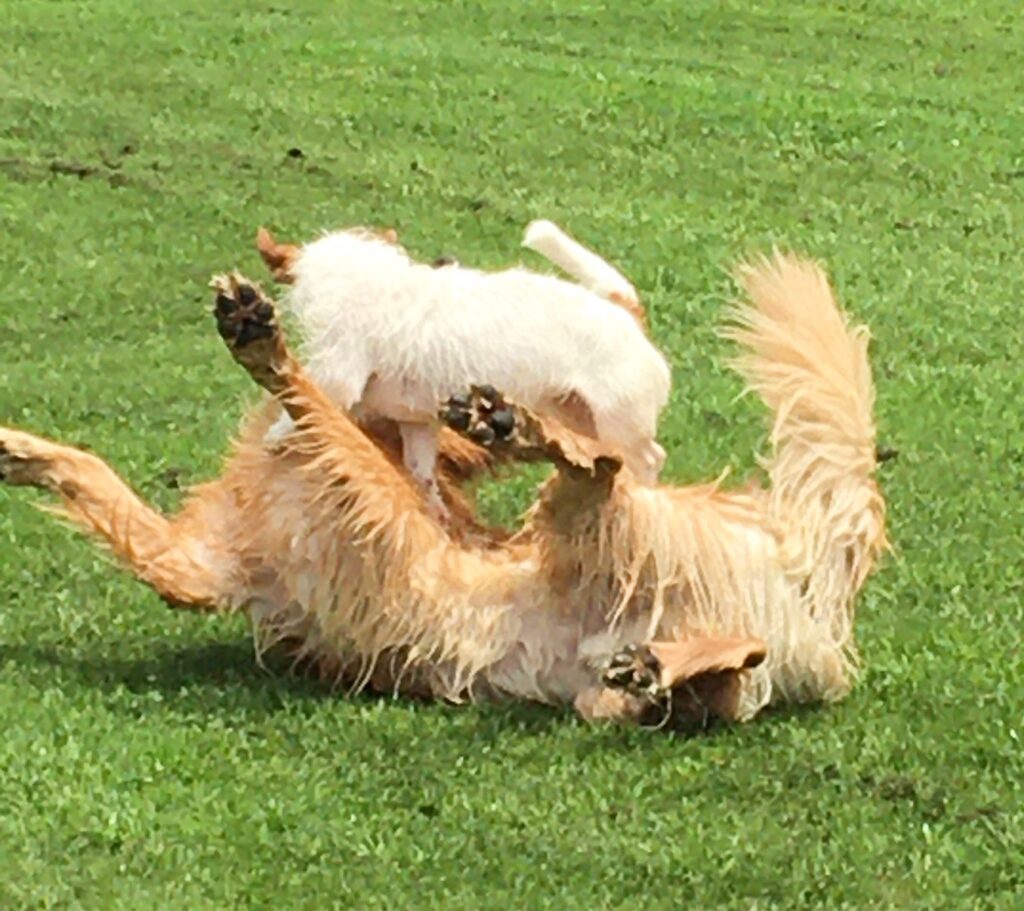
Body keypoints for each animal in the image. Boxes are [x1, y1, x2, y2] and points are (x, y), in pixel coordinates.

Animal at [255, 224, 671, 519]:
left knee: (650, 459)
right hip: (578, 417)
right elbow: (421, 473)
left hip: (619, 423)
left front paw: (273, 441)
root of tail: (625, 310)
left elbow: (295, 406)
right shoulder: (417, 423)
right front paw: (437, 514)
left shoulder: (337, 376)